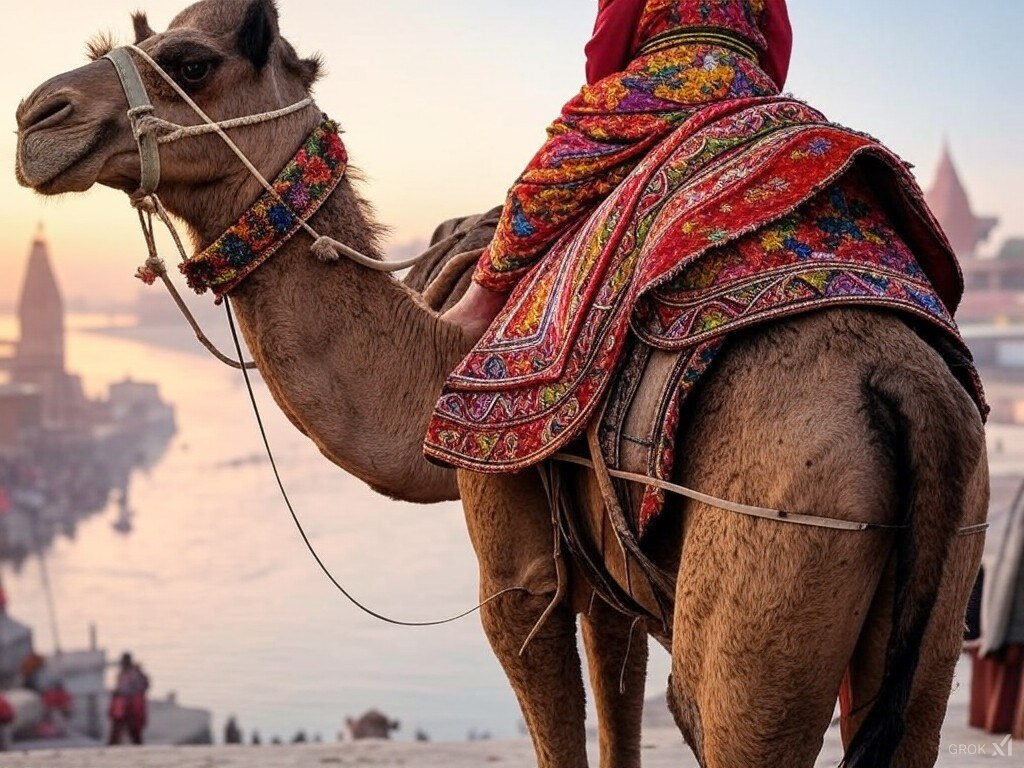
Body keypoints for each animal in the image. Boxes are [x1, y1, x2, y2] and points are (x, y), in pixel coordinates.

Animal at [14, 2, 988, 766]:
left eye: (190, 61)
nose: (37, 113)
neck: (435, 352)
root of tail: (907, 389)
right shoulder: (608, 579)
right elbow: (618, 725)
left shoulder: (514, 560)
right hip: (939, 607)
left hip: (767, 591)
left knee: (719, 714)